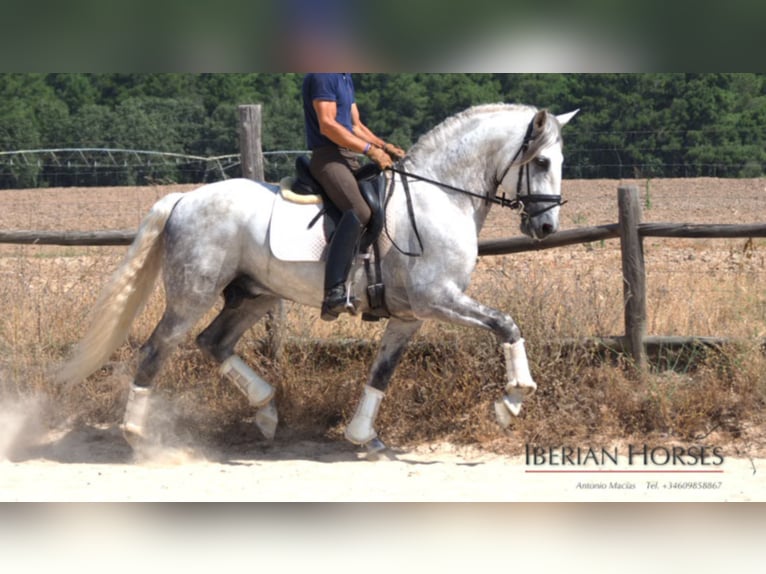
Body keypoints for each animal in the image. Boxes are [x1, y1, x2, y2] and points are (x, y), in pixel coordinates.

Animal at [57, 104, 580, 460]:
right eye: (541, 163)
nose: (545, 227)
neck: (441, 197)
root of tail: (185, 198)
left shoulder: (410, 316)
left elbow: (381, 373)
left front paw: (363, 437)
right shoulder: (439, 299)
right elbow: (506, 324)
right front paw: (512, 401)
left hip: (254, 295)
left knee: (214, 342)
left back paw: (267, 410)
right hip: (193, 294)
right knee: (156, 349)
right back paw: (138, 436)